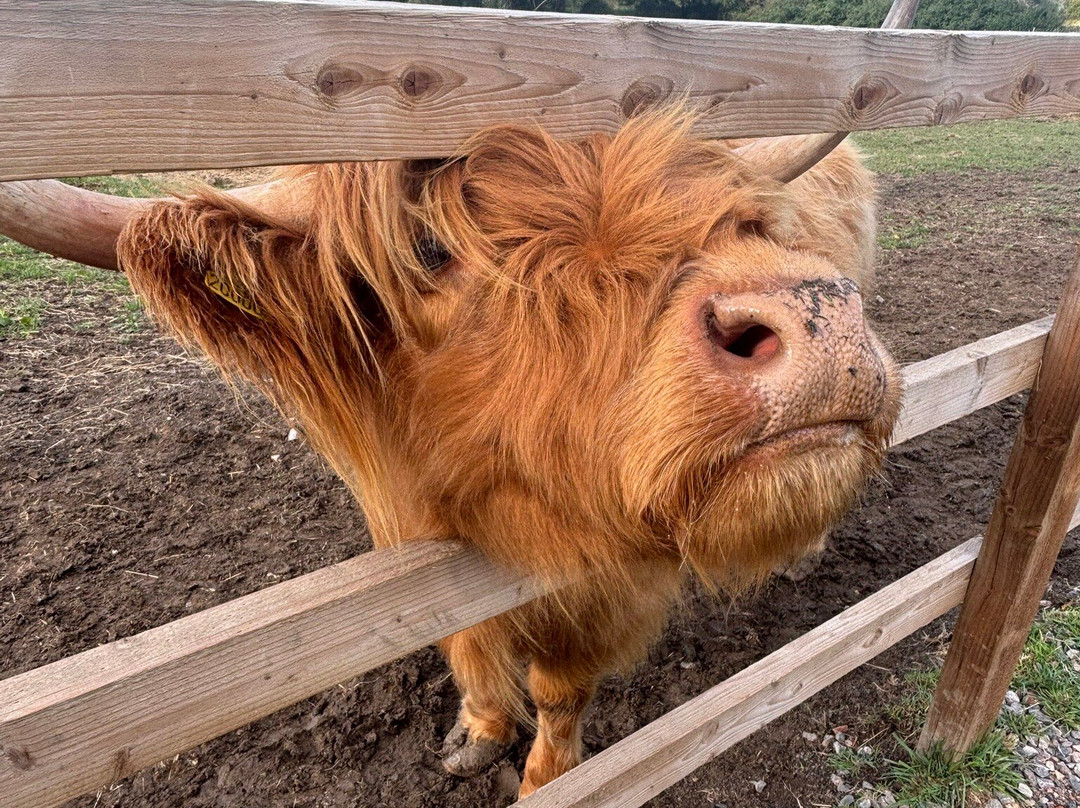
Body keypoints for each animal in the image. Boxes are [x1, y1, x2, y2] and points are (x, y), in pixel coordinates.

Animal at [0, 107, 902, 796]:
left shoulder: (611, 584)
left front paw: (546, 779)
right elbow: (464, 642)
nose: (815, 312)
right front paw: (479, 731)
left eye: (737, 220)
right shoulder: (411, 539)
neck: (494, 516)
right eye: (431, 249)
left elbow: (560, 686)